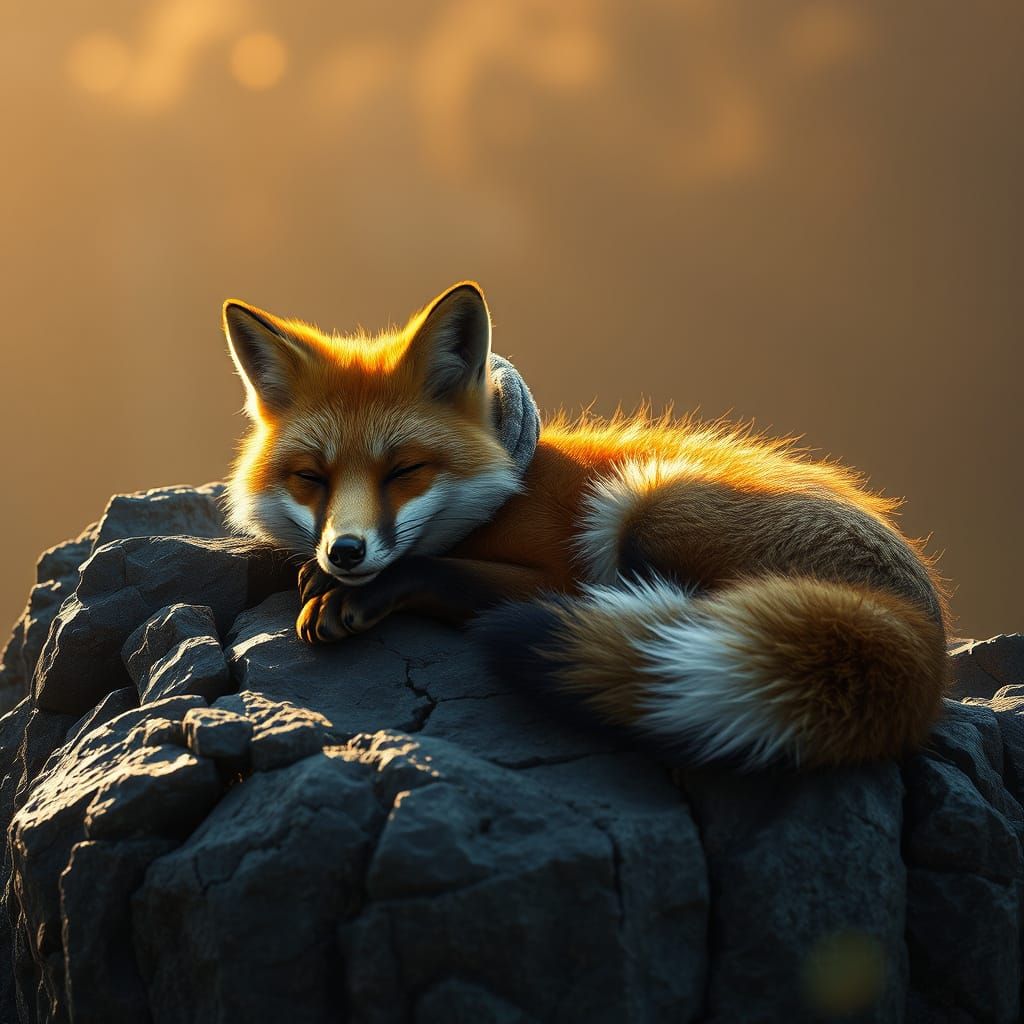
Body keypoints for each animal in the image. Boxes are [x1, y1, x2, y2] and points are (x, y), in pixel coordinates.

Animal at [223, 281, 950, 770]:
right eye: (311, 477)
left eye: (405, 469)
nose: (345, 552)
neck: (508, 485)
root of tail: (923, 626)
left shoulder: (555, 571)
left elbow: (430, 565)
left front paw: (352, 594)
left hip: (647, 507)